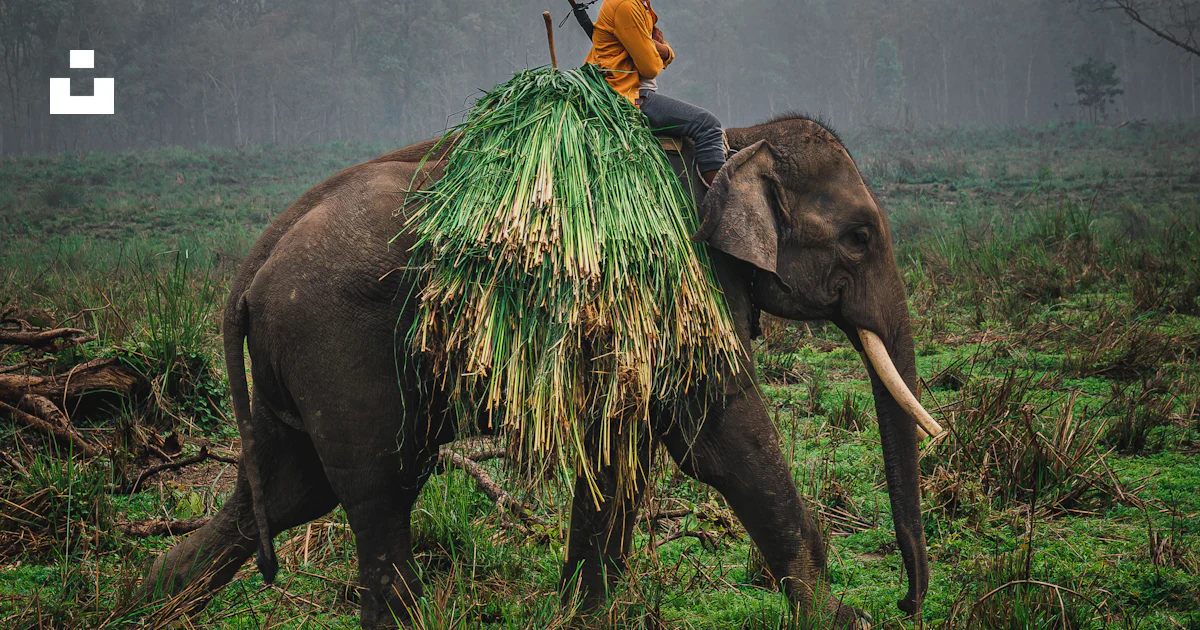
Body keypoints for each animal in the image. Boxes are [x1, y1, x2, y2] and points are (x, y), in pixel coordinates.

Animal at [138, 114, 939, 628]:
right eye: (860, 236)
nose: (906, 603)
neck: (741, 140)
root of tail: (255, 262)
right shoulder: (677, 279)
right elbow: (719, 439)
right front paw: (841, 618)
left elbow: (621, 450)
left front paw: (582, 617)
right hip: (338, 348)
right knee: (378, 492)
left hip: (293, 363)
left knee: (282, 494)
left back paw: (138, 604)